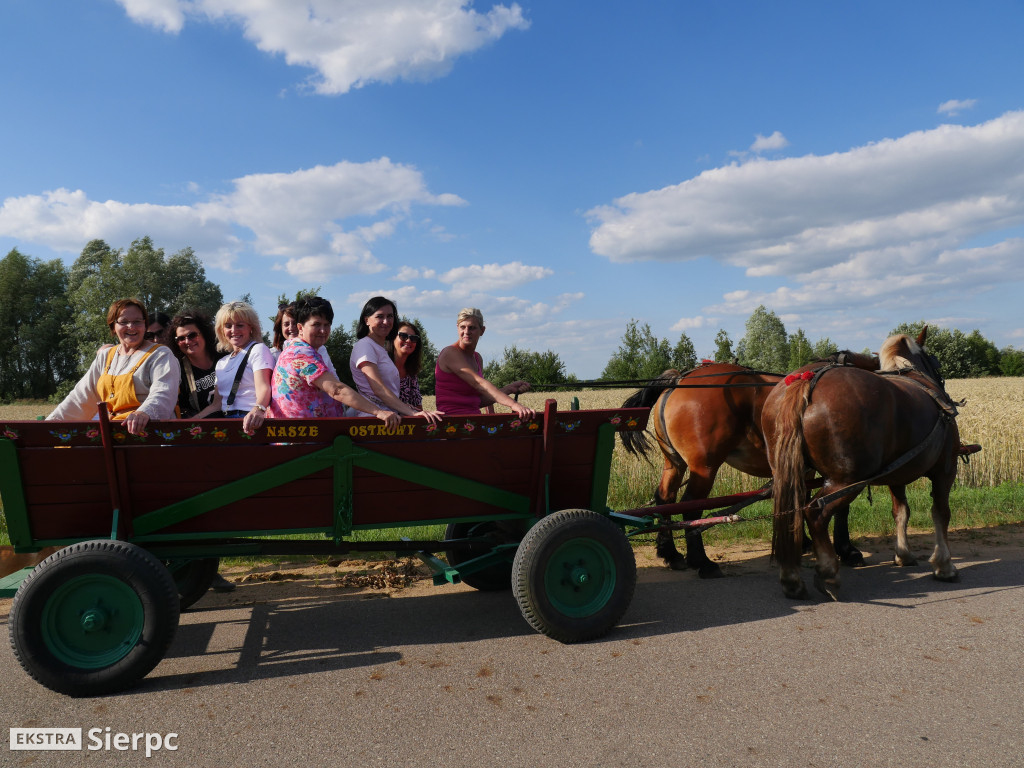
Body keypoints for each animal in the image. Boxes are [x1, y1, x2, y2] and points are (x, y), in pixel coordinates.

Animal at [618, 354, 876, 577]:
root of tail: (680, 379)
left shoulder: (808, 467)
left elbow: (801, 499)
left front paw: (803, 541)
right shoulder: (841, 467)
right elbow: (838, 506)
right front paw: (847, 550)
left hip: (674, 462)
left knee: (665, 498)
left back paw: (670, 554)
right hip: (704, 467)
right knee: (691, 506)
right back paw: (703, 562)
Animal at [765, 327, 962, 598]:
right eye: (935, 362)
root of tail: (807, 380)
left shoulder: (898, 473)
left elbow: (901, 512)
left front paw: (903, 554)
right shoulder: (945, 469)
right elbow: (941, 513)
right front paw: (944, 565)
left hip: (790, 475)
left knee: (791, 514)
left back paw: (791, 578)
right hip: (846, 480)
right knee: (815, 513)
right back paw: (828, 573)